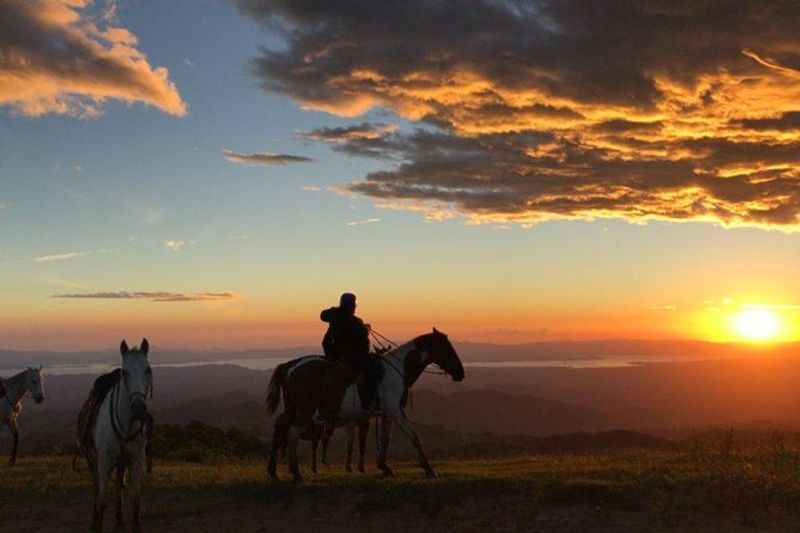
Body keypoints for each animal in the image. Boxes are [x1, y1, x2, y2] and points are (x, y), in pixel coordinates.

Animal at [90, 340, 154, 532]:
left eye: (148, 369)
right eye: (124, 372)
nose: (139, 408)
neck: (125, 425)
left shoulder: (137, 460)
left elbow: (135, 499)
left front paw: (135, 525)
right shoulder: (104, 461)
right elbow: (102, 499)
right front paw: (98, 525)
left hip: (121, 461)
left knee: (119, 484)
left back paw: (119, 518)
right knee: (97, 489)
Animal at [266, 326, 466, 480]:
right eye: (447, 348)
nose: (460, 373)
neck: (398, 370)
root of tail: (291, 366)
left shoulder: (387, 414)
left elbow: (385, 439)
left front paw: (384, 467)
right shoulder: (396, 412)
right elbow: (414, 437)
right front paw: (429, 470)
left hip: (293, 408)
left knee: (280, 427)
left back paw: (273, 471)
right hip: (305, 409)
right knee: (292, 432)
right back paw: (296, 473)